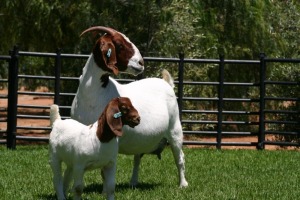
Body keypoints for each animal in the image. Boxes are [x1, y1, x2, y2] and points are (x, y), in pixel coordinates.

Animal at [71, 26, 188, 188]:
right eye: (120, 45)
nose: (141, 62)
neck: (93, 94)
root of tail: (167, 83)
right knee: (137, 159)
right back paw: (133, 183)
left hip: (175, 129)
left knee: (180, 157)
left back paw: (183, 184)